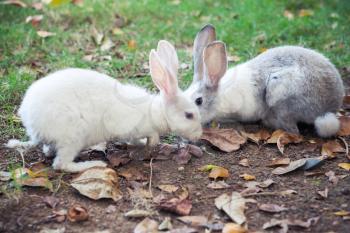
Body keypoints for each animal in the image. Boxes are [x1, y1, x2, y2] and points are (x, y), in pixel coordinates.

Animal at [6, 40, 202, 172]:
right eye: (189, 115)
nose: (199, 135)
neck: (155, 111)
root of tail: (32, 126)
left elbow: (134, 140)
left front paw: (142, 144)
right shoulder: (129, 125)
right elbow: (148, 135)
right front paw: (153, 142)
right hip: (73, 137)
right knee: (61, 165)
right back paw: (93, 164)